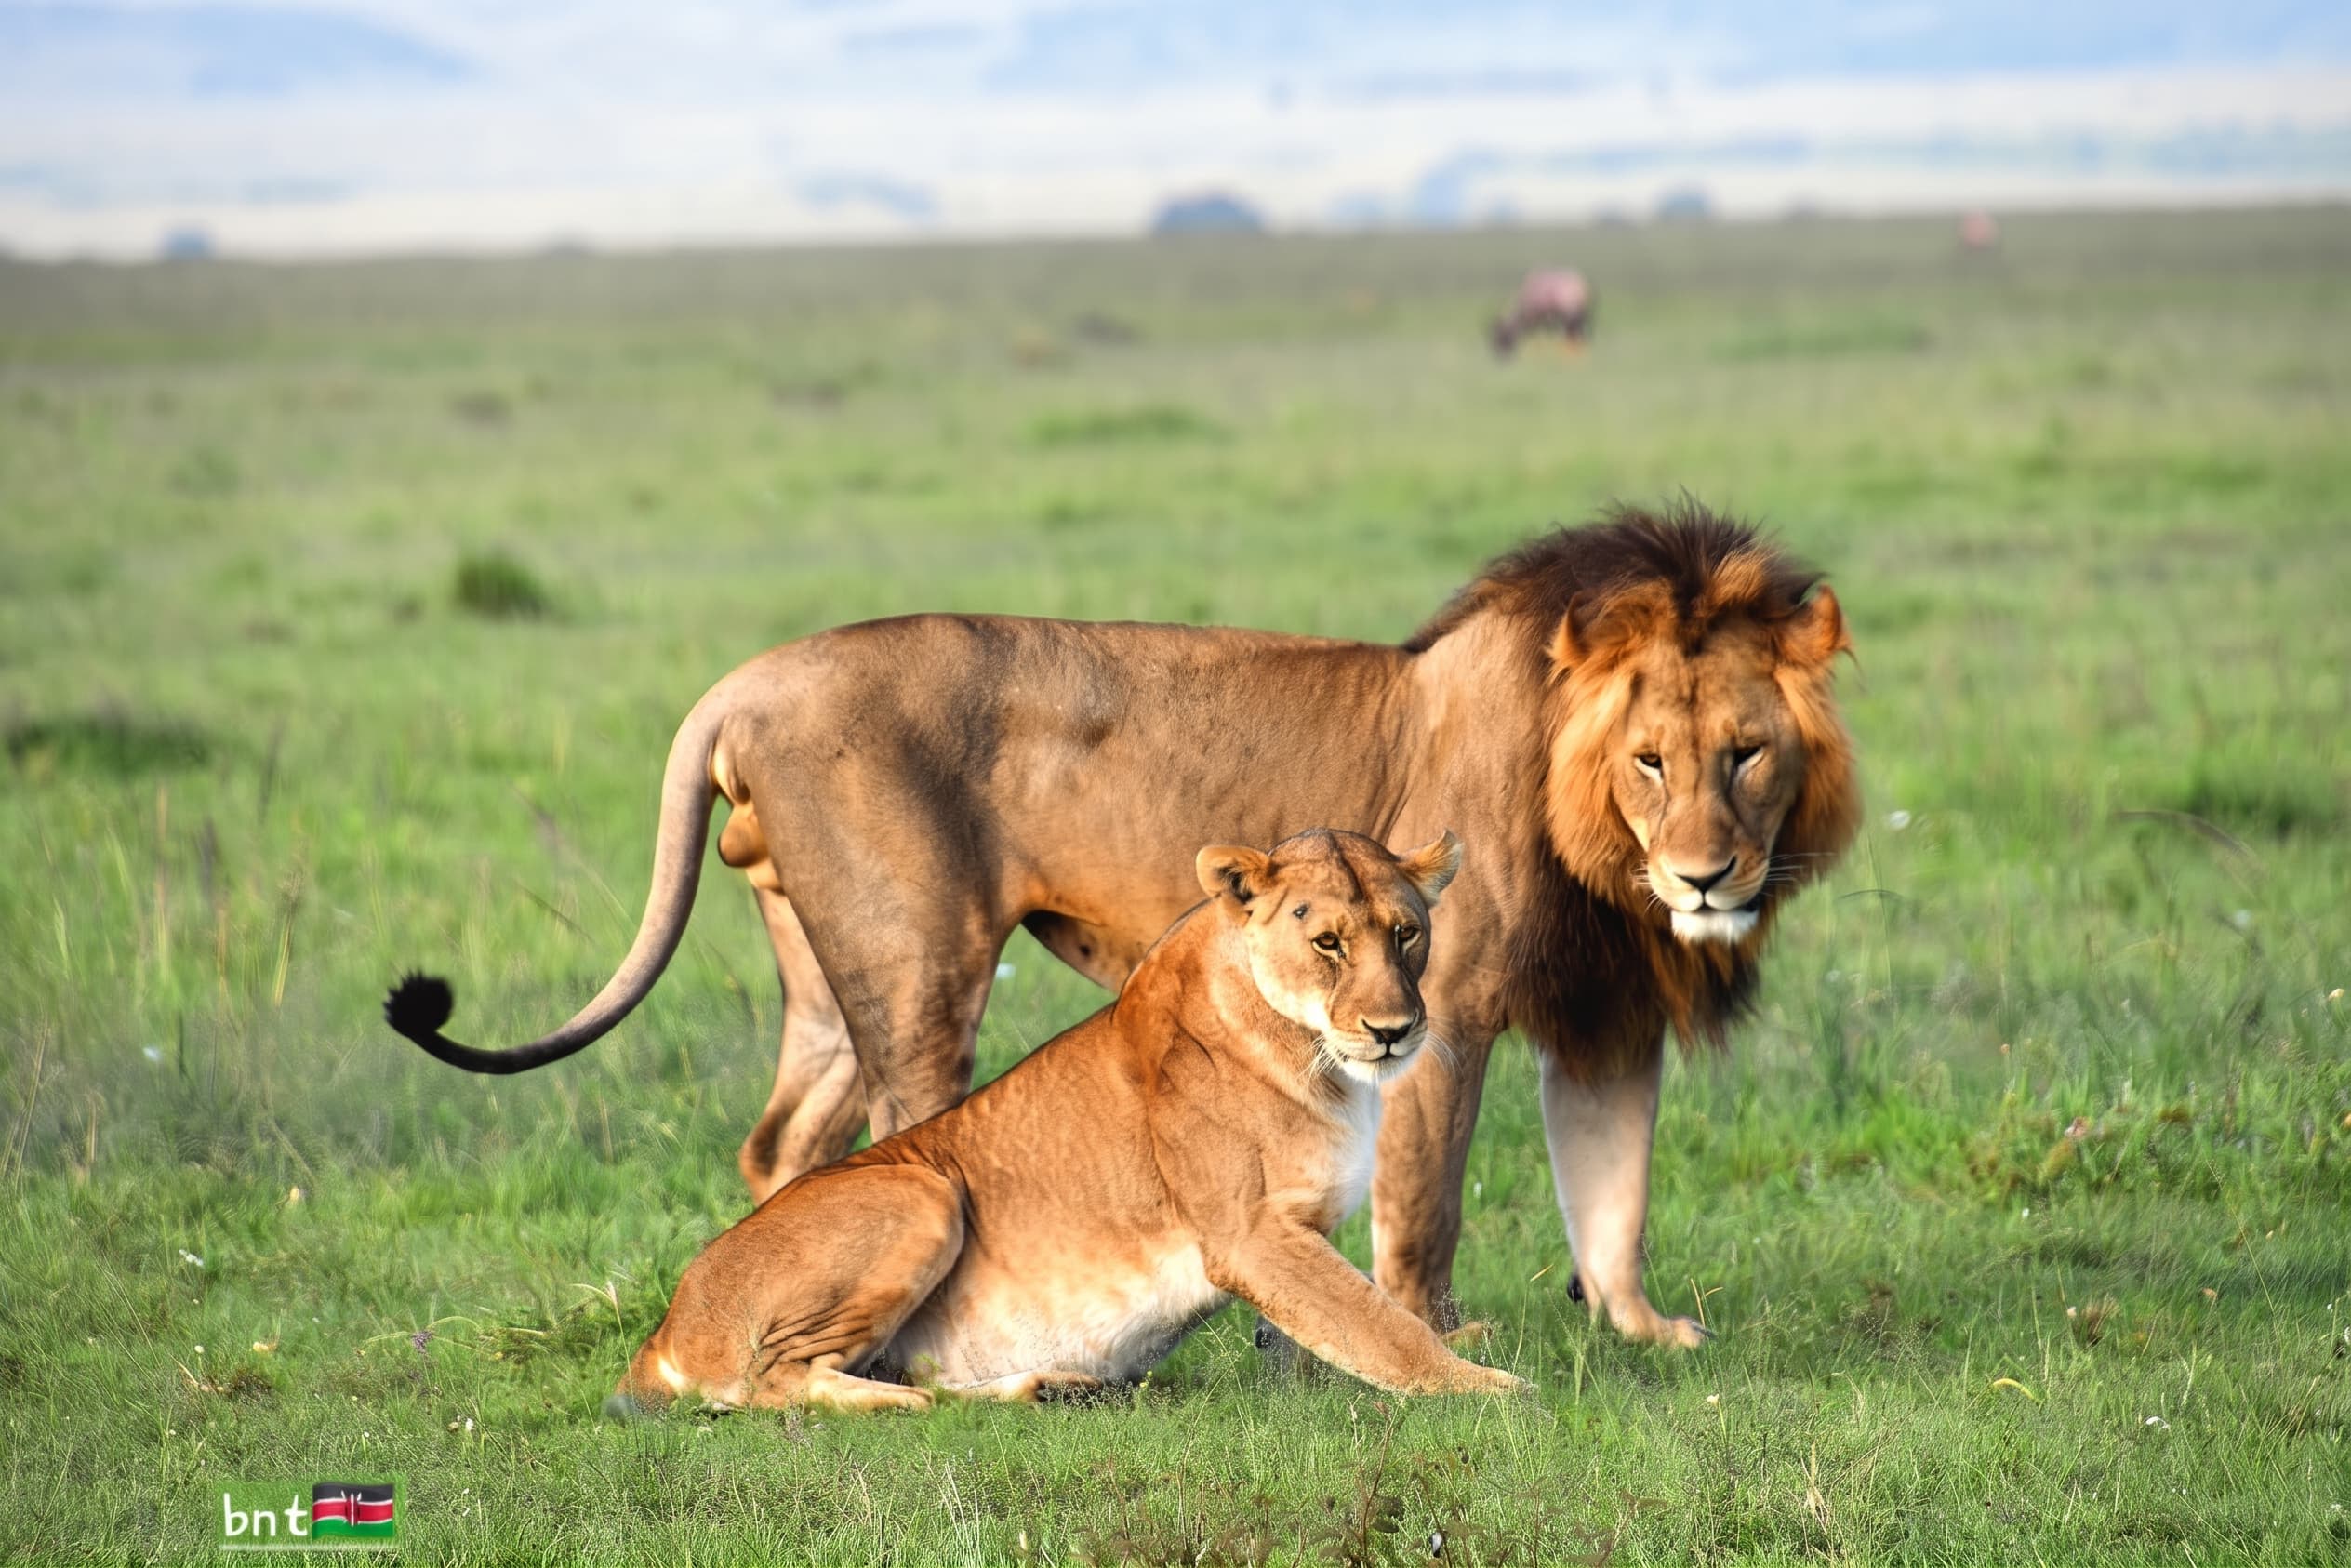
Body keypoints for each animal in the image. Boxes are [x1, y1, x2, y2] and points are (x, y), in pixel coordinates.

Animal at [387, 500, 1859, 1348]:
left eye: (1745, 753)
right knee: (901, 1124)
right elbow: (1426, 1209)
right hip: (920, 965)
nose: (1709, 879)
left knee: (782, 1143)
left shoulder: (1609, 1014)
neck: (1607, 860)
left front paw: (1642, 1334)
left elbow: (1614, 1192)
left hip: (822, 971)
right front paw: (1443, 1337)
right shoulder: (1442, 1014)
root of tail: (742, 680)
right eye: (1651, 762)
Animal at [611, 828, 1525, 1414]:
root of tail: (665, 1325)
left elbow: (1333, 1331)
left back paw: (1052, 1387)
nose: (1395, 1029)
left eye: (1407, 934)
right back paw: (915, 1405)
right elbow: (1383, 1329)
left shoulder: (1301, 1233)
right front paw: (1499, 1391)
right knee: (774, 1382)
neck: (1325, 1065)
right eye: (1329, 942)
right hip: (918, 1190)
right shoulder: (1251, 1235)